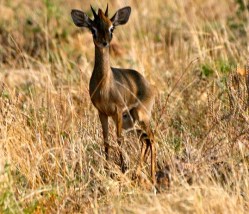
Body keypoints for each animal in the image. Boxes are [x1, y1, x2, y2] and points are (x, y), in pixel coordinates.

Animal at [70, 4, 156, 183]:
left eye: (111, 28)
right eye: (93, 28)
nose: (104, 42)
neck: (105, 85)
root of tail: (147, 83)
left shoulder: (117, 111)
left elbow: (118, 139)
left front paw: (122, 168)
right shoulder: (102, 112)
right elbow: (106, 140)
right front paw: (108, 169)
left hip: (140, 116)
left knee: (151, 137)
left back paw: (152, 176)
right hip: (130, 122)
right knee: (144, 140)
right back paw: (137, 173)